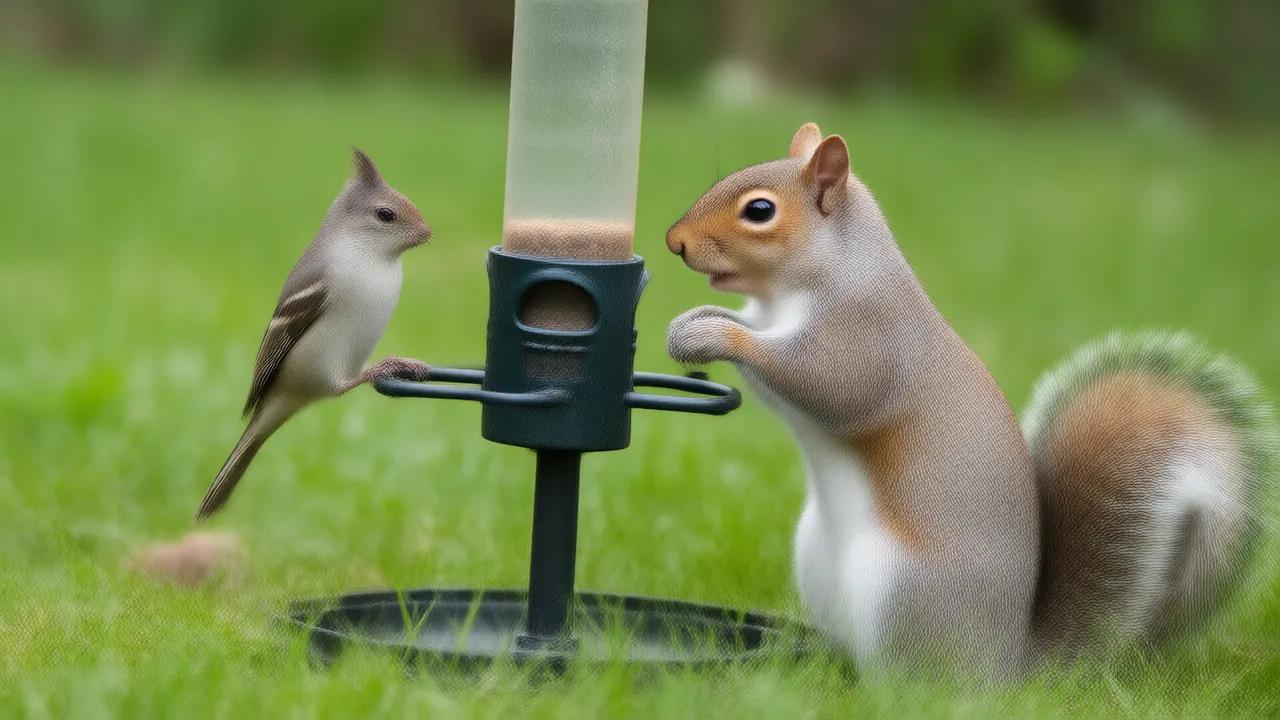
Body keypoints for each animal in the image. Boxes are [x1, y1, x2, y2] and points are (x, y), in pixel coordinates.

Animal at [664, 122, 1277, 679]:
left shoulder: (867, 342)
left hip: (899, 590)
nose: (675, 242)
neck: (802, 287)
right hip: (816, 559)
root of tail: (1006, 667)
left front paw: (716, 336)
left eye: (759, 211)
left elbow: (828, 385)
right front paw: (695, 319)